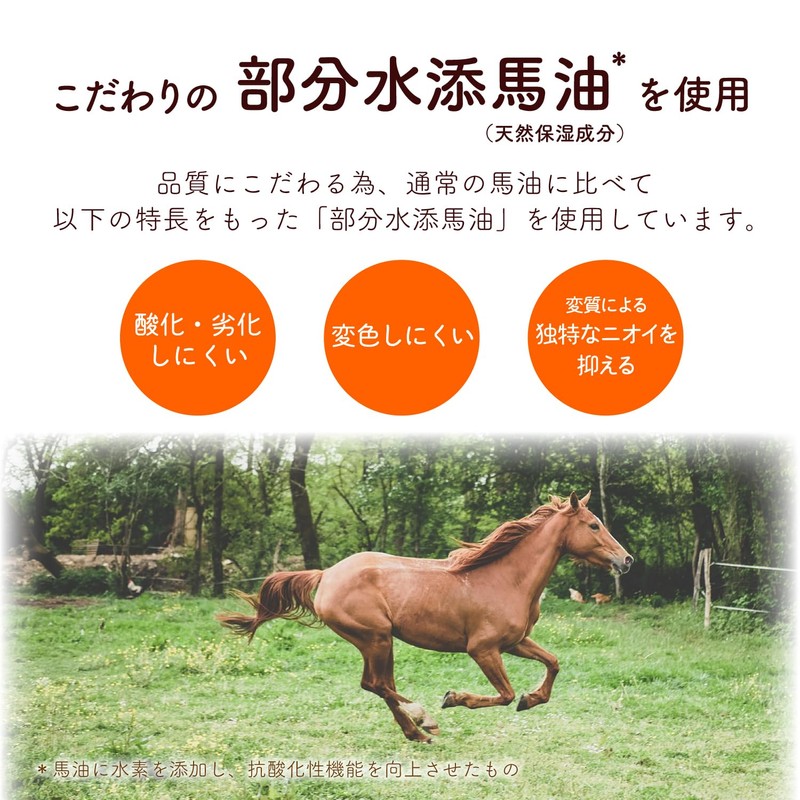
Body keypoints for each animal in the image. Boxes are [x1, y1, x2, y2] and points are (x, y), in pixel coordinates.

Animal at [217, 491, 633, 743]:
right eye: (594, 525)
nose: (626, 560)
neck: (506, 578)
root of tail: (327, 574)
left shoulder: (514, 642)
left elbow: (553, 662)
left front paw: (532, 699)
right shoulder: (483, 649)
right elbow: (504, 694)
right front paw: (455, 698)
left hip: (380, 642)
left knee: (379, 685)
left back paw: (416, 731)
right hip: (375, 638)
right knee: (377, 684)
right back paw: (424, 719)